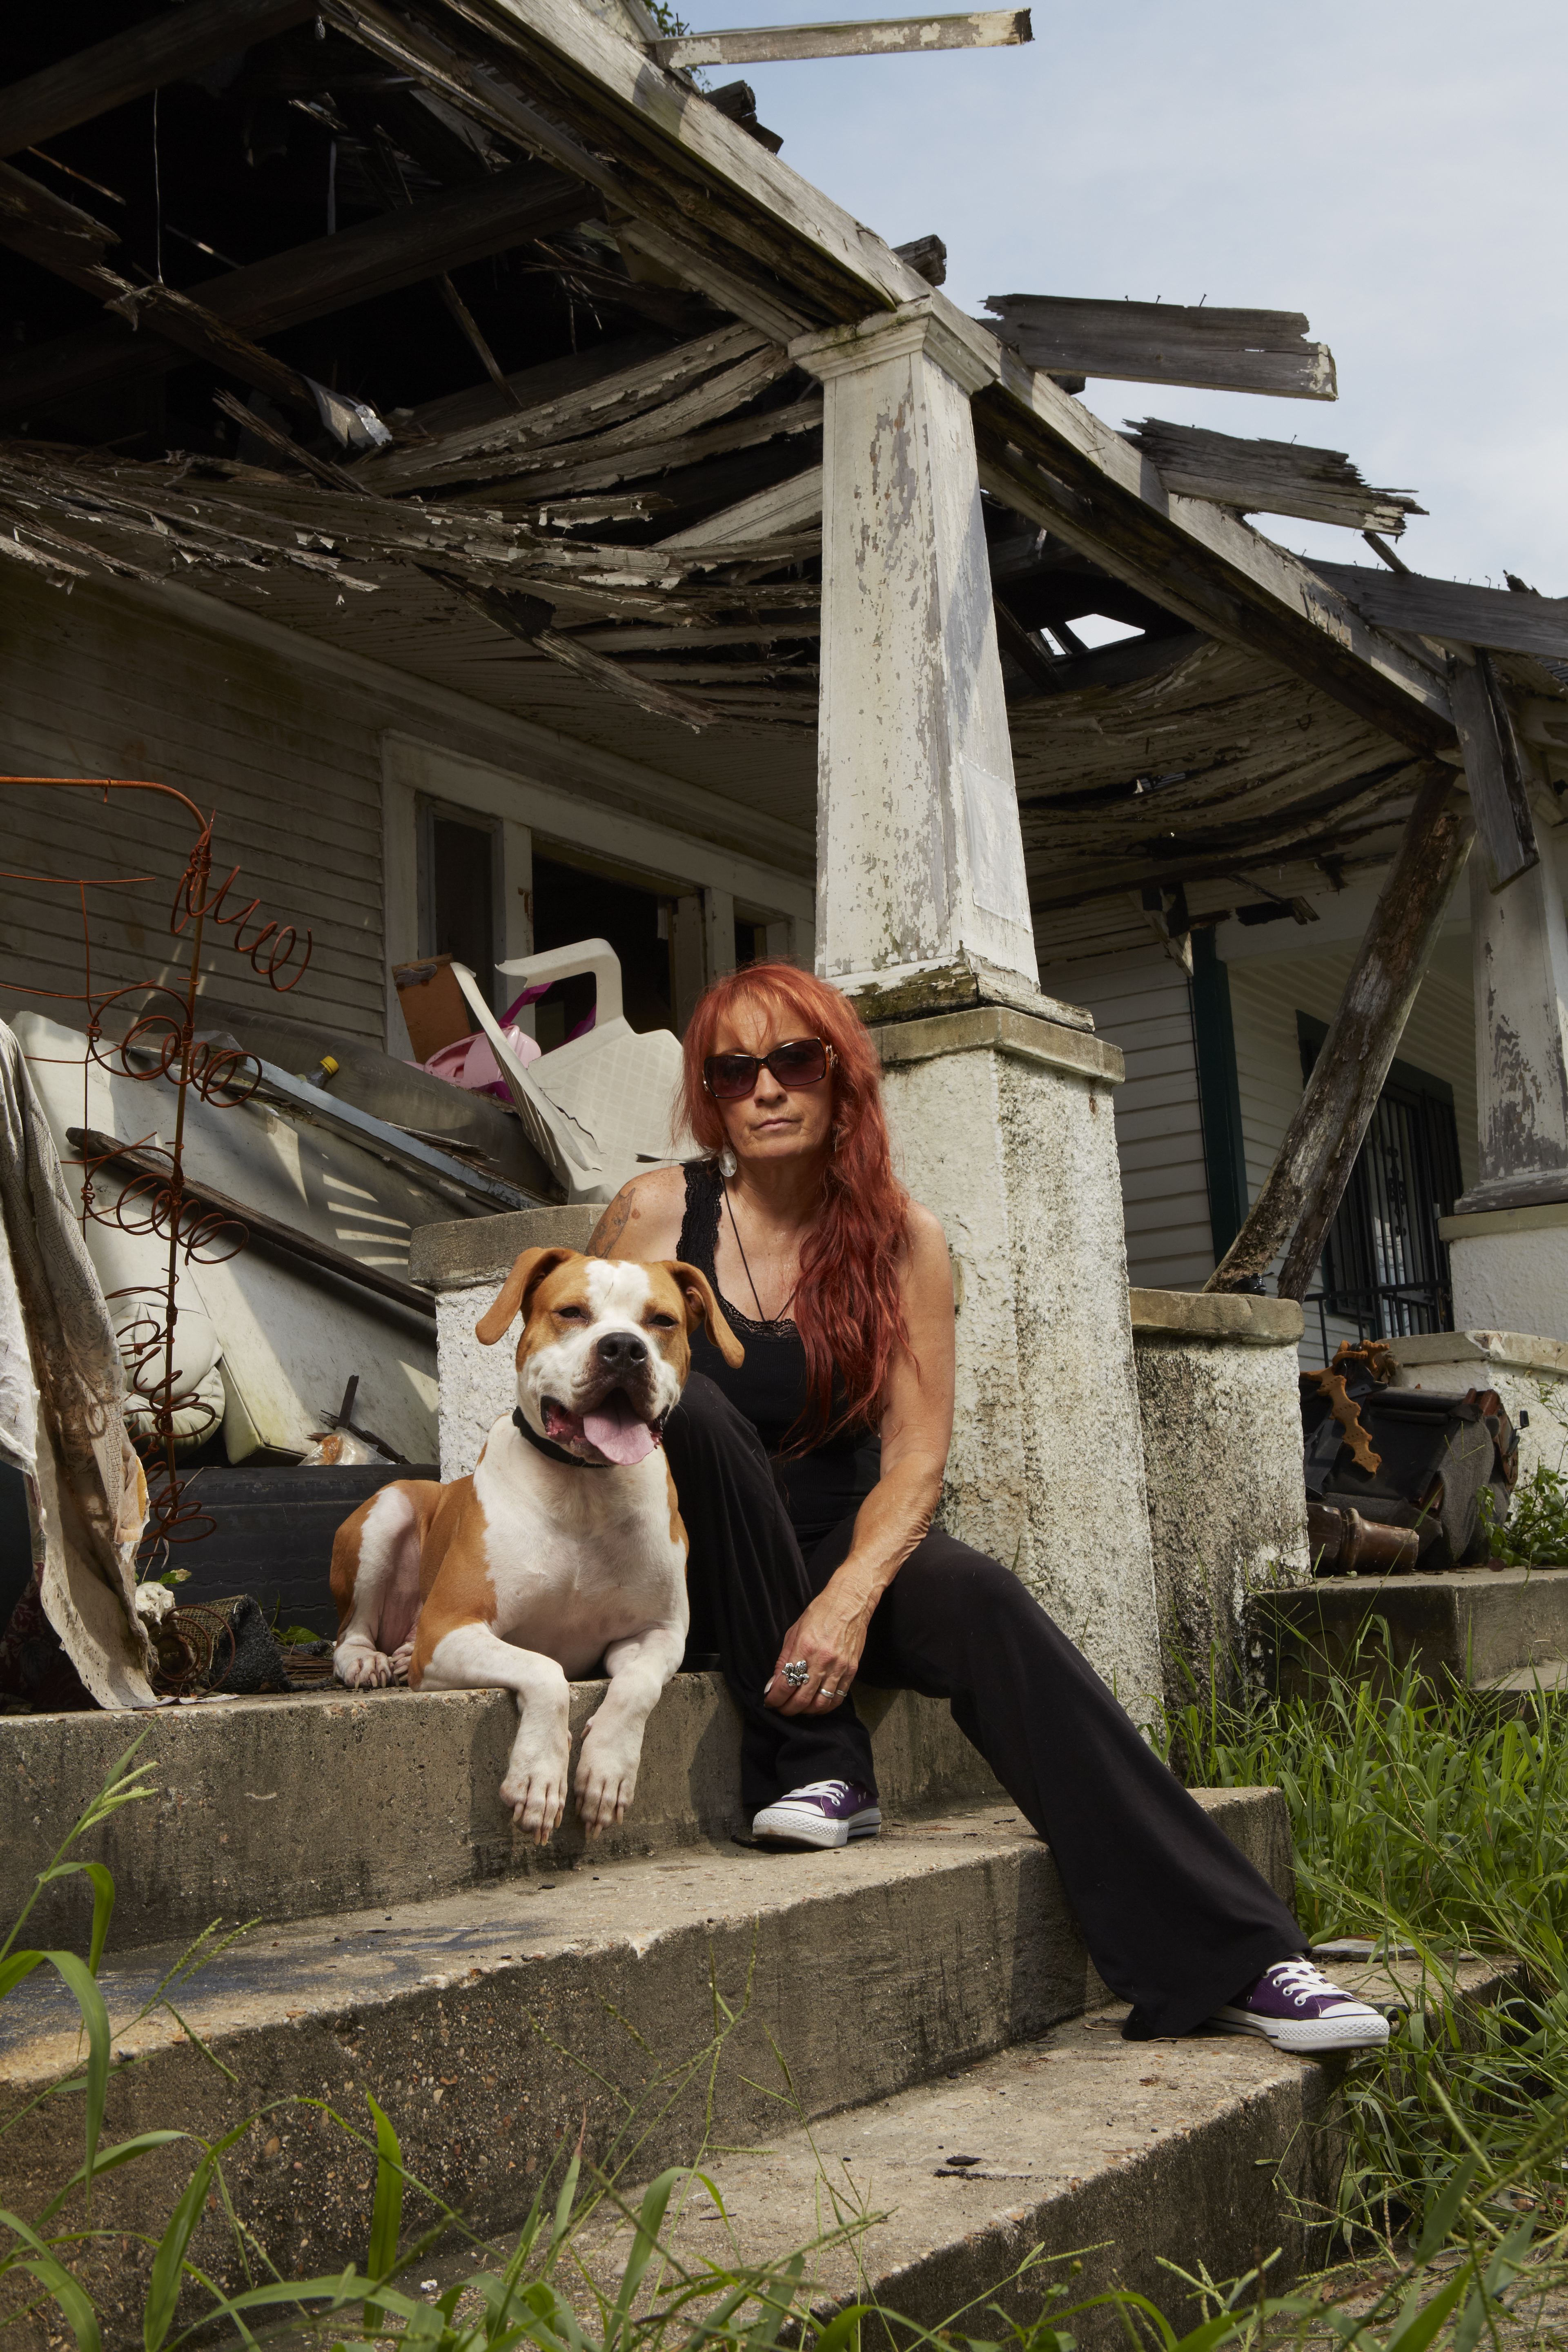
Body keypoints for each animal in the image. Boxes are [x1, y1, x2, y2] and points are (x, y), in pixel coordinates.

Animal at [329, 1246, 742, 1843]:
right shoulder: (449, 1630)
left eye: (662, 1321)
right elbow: (546, 1672)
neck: (584, 1486)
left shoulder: (658, 1632)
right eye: (571, 1312)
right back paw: (366, 1660)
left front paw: (607, 1771)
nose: (624, 1349)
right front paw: (538, 1778)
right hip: (390, 1508)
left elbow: (637, 1685)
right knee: (350, 1629)